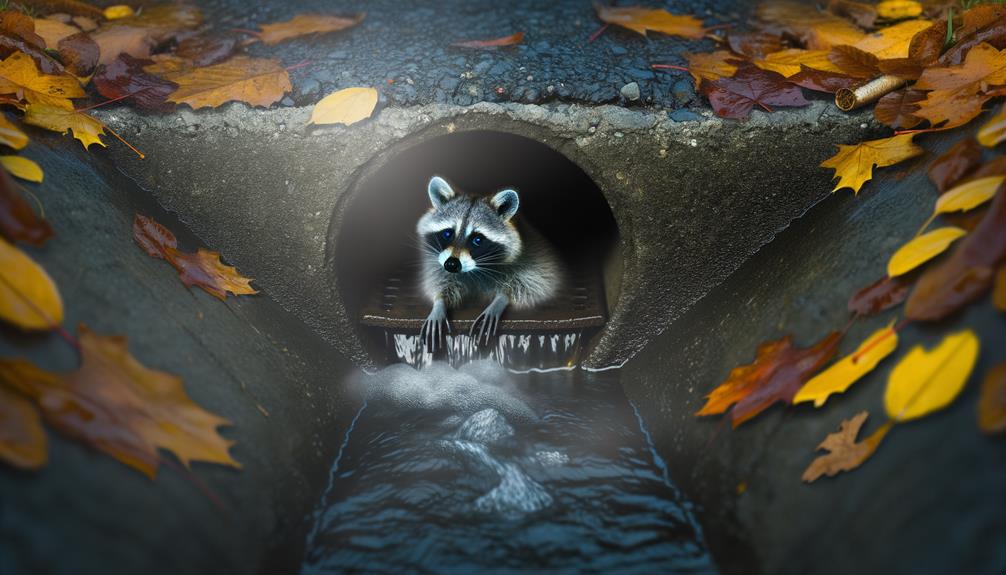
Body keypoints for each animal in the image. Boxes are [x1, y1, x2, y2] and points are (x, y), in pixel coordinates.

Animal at [414, 174, 559, 347]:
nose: (451, 264)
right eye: (448, 233)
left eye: (477, 239)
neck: (476, 269)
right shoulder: (438, 261)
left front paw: (501, 299)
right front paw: (439, 303)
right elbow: (440, 280)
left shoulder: (534, 259)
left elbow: (535, 284)